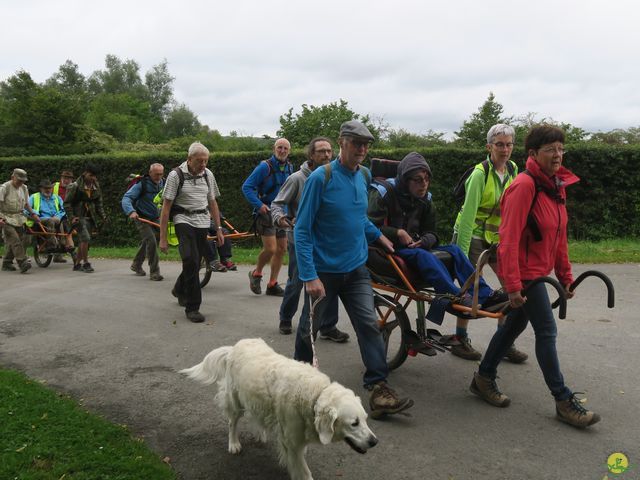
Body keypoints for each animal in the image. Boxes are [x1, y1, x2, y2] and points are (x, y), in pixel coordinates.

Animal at [180, 338, 378, 480]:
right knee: (232, 423)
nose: (375, 442)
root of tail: (235, 346)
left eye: (365, 419)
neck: (314, 395)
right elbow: (304, 473)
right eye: (354, 423)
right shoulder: (292, 445)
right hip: (235, 402)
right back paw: (233, 443)